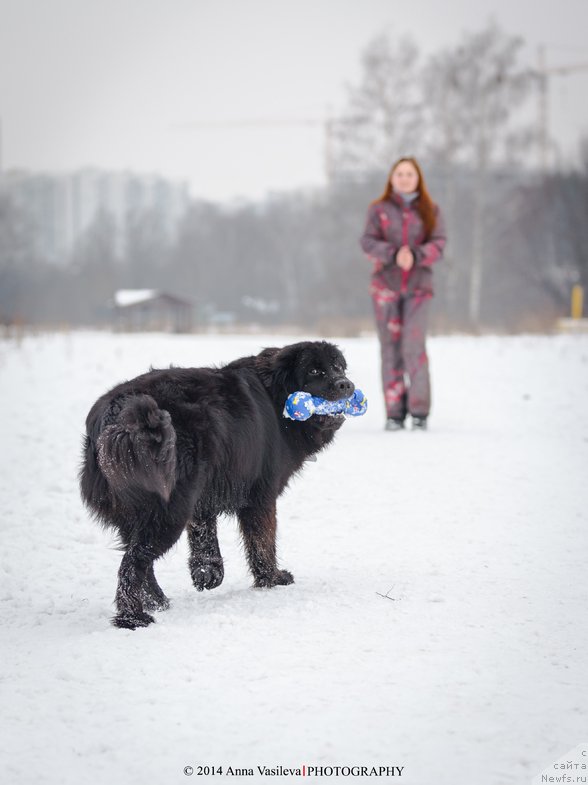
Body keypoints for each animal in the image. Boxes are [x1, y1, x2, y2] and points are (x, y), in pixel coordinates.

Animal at [78, 340, 354, 628]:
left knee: (141, 562)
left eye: (338, 367)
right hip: (168, 512)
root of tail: (116, 415)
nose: (345, 385)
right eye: (314, 371)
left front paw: (208, 572)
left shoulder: (204, 496)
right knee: (132, 563)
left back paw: (160, 603)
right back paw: (134, 617)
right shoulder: (260, 497)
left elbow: (205, 535)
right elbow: (263, 542)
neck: (277, 397)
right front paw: (272, 578)